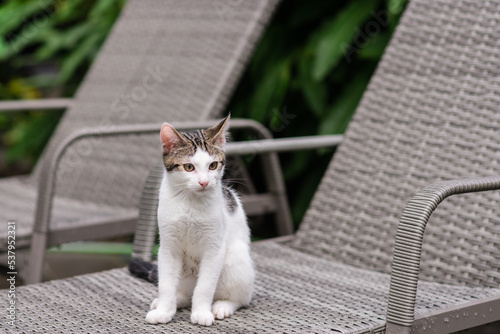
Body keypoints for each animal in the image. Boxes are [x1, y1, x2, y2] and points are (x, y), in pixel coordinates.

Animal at [129, 115, 254, 326]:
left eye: (213, 165)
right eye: (189, 167)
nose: (204, 182)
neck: (189, 202)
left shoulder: (214, 248)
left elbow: (204, 287)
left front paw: (201, 313)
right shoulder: (168, 247)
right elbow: (166, 284)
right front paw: (164, 310)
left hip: (236, 262)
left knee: (241, 298)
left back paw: (222, 306)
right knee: (184, 292)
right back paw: (174, 300)